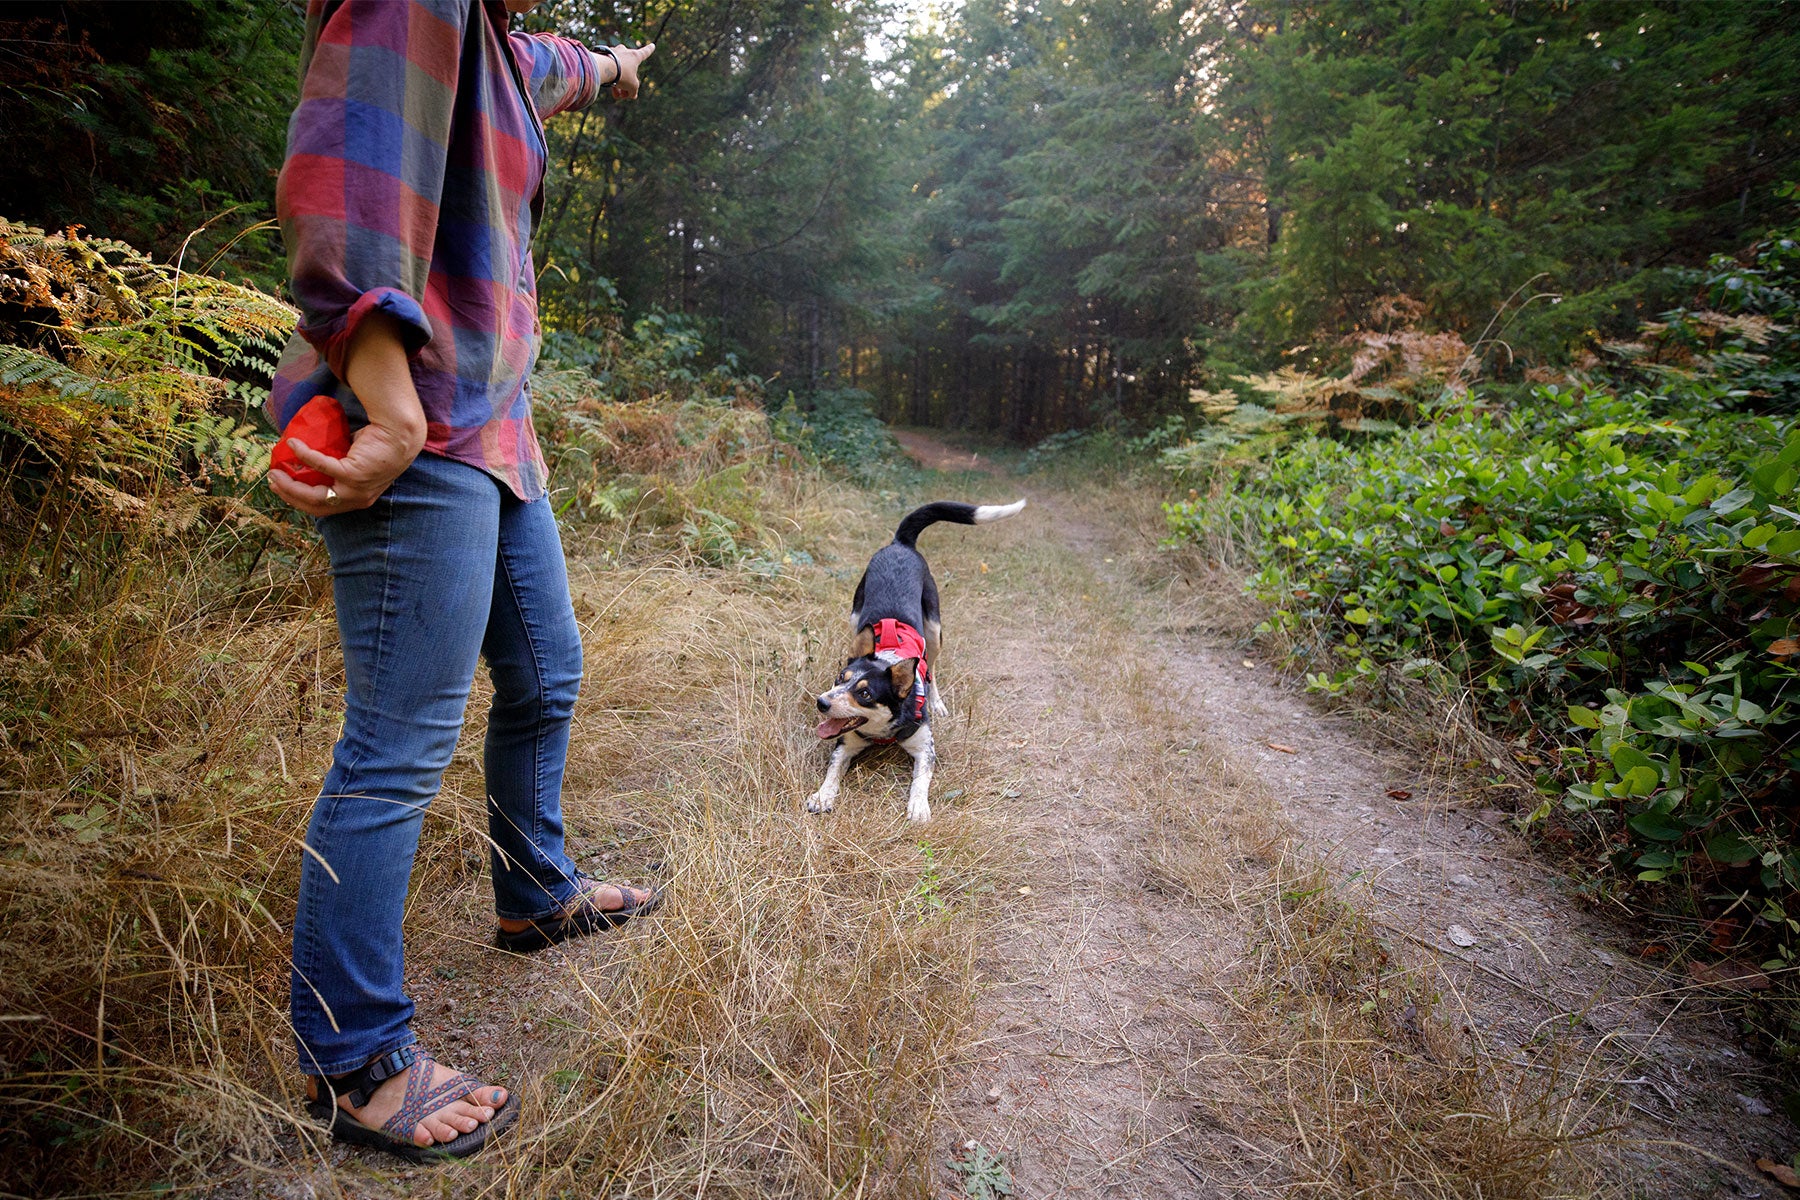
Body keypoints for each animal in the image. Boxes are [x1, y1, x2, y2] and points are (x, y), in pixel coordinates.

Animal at [806, 500, 1029, 827]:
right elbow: (833, 770)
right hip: (855, 617)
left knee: (932, 669)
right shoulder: (845, 744)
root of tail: (901, 543)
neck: (882, 733)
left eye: (865, 693)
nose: (821, 702)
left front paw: (919, 807)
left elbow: (920, 780)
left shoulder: (926, 748)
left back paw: (937, 702)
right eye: (840, 678)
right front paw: (822, 796)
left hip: (934, 630)